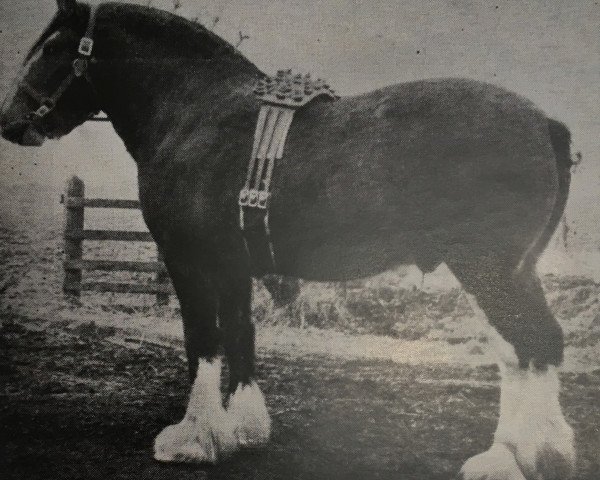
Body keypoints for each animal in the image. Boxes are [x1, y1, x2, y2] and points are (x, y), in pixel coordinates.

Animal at [0, 1, 576, 478]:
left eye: (52, 47)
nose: (10, 122)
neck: (195, 112)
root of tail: (543, 122)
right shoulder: (232, 265)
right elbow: (239, 335)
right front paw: (243, 428)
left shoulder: (190, 262)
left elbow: (203, 342)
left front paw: (194, 438)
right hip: (509, 271)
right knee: (525, 350)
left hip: (489, 269)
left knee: (532, 344)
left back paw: (511, 458)